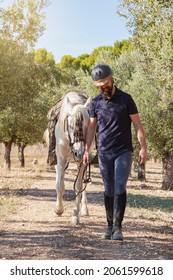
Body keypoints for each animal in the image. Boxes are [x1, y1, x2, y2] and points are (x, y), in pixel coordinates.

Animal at [54, 91, 92, 224]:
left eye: (88, 125)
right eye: (70, 125)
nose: (79, 153)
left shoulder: (82, 161)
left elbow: (78, 187)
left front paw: (76, 215)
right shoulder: (61, 158)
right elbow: (60, 185)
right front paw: (59, 209)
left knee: (84, 182)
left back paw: (84, 209)